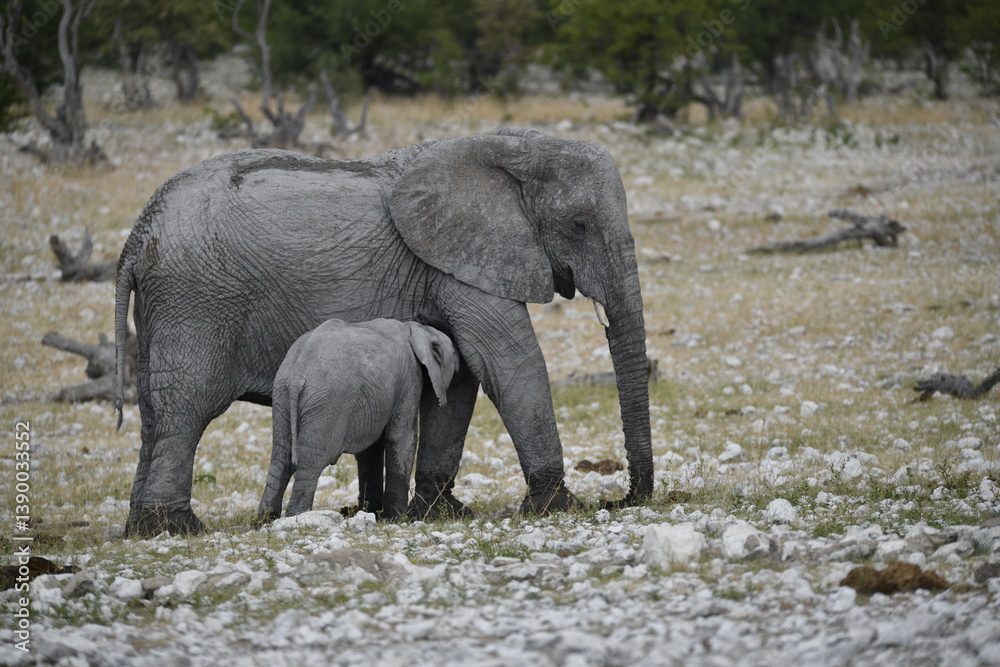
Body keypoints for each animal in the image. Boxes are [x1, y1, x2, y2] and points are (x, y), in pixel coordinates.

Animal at [257, 318, 460, 521]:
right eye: (452, 352)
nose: (460, 361)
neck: (415, 328)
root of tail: (296, 377)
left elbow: (371, 447)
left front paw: (374, 513)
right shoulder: (410, 378)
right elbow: (400, 438)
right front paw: (398, 519)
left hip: (282, 397)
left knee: (280, 460)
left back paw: (265, 520)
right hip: (328, 404)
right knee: (310, 464)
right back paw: (297, 517)